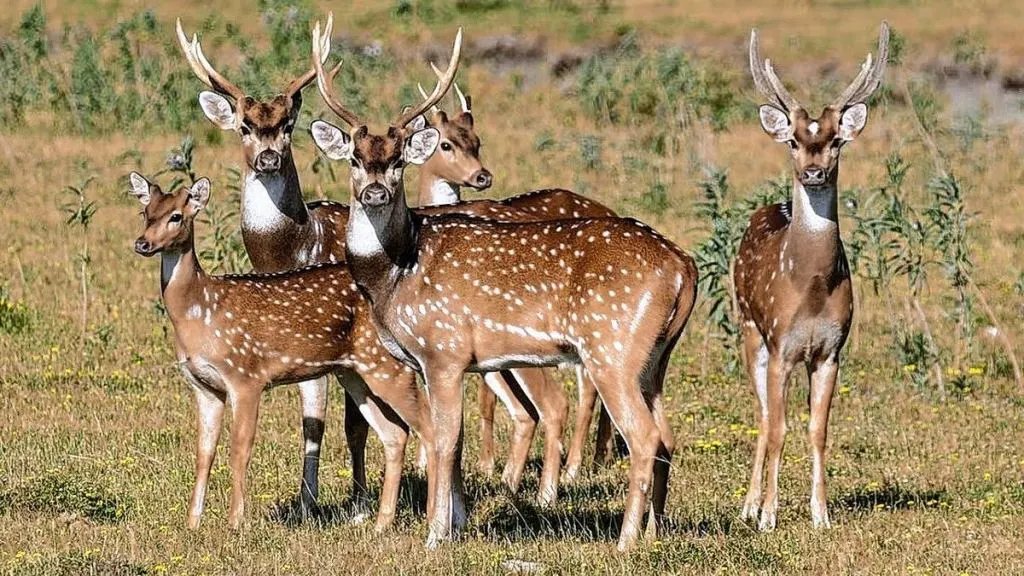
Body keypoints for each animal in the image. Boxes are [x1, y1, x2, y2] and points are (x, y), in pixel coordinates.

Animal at [129, 172, 438, 531]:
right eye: (145, 213)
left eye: (176, 216)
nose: (142, 244)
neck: (200, 311)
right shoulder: (203, 386)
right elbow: (204, 452)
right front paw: (192, 523)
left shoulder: (246, 376)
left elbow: (240, 449)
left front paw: (235, 523)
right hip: (355, 372)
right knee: (395, 433)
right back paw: (380, 523)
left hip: (387, 365)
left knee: (429, 428)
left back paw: (433, 521)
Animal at [410, 71, 621, 482]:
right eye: (446, 143)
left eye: (477, 141)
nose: (482, 176)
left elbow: (484, 398)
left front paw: (486, 465)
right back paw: (598, 456)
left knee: (589, 384)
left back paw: (573, 467)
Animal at [736, 22, 889, 531]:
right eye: (793, 141)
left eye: (837, 140)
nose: (814, 172)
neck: (813, 290)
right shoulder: (782, 346)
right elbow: (780, 428)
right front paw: (768, 515)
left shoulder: (830, 352)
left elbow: (818, 430)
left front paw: (820, 514)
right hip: (749, 329)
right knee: (762, 416)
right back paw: (748, 506)